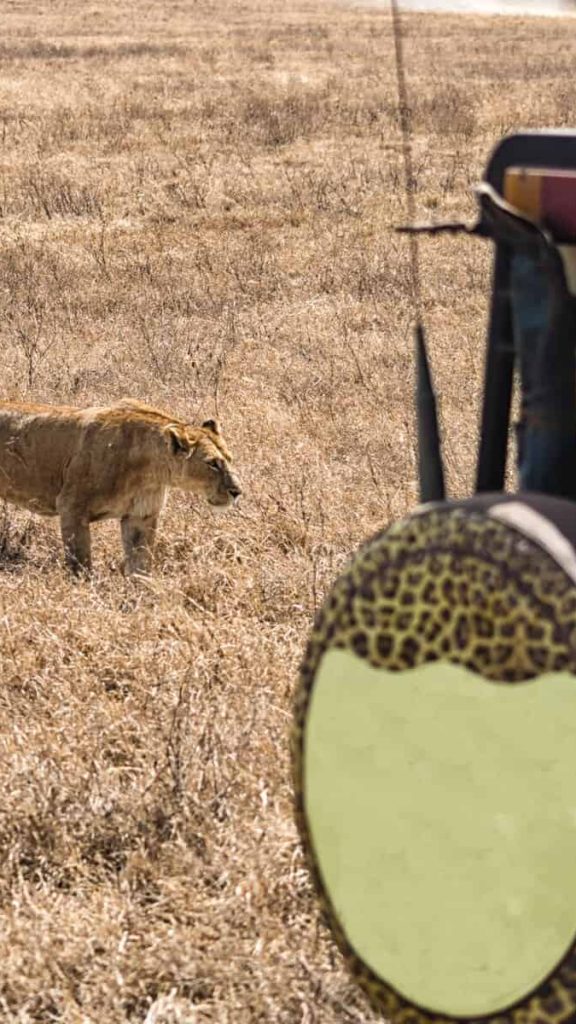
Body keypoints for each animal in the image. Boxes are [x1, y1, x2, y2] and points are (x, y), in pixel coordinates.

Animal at [0, 398, 241, 576]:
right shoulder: (71, 507)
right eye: (212, 464)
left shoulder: (140, 516)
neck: (149, 472)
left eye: (230, 458)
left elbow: (140, 566)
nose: (237, 492)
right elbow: (80, 564)